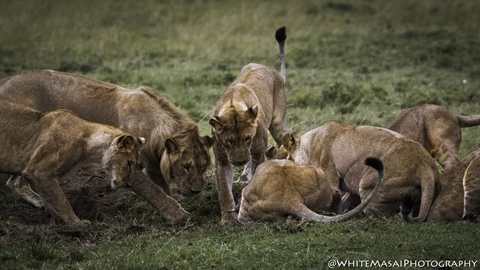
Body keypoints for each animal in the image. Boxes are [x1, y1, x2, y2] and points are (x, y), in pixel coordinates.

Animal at [0, 98, 161, 224]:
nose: (127, 184)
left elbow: (51, 199)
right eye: (129, 163)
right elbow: (61, 201)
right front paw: (78, 224)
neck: (90, 144)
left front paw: (54, 219)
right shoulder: (38, 171)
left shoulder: (36, 173)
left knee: (14, 183)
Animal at [209, 25, 284, 224]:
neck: (234, 105)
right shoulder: (222, 160)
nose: (239, 160)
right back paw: (244, 174)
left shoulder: (257, 152)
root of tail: (270, 69)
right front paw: (228, 219)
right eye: (228, 141)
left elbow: (254, 180)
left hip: (278, 125)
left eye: (247, 138)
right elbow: (224, 192)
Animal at [284, 121, 440, 223]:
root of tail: (424, 165)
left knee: (381, 216)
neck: (308, 145)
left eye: (289, 157)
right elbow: (344, 203)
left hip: (367, 185)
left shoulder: (332, 182)